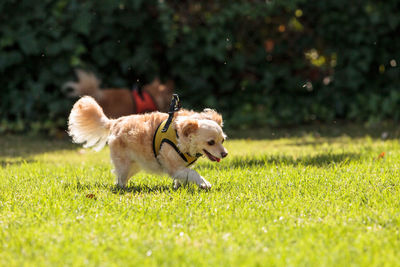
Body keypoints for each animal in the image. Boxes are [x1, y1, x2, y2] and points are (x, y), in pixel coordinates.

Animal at [67, 95, 227, 189]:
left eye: (223, 140)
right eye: (211, 142)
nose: (225, 154)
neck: (179, 136)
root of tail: (115, 122)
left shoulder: (181, 168)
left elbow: (184, 177)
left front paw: (180, 187)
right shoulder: (175, 167)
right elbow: (193, 173)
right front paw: (204, 183)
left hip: (135, 165)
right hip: (125, 165)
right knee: (120, 179)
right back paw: (122, 189)